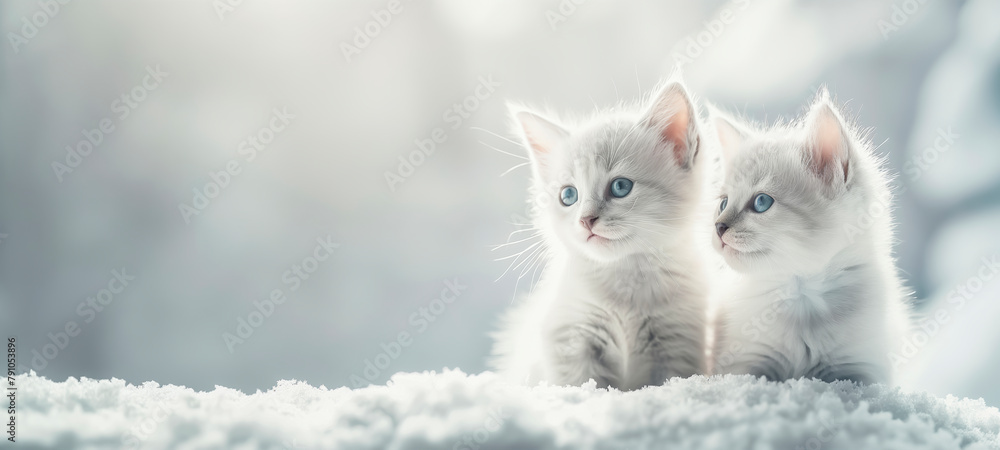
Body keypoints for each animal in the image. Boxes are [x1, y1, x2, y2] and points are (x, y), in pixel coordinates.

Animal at [490, 81, 712, 390]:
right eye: (568, 196)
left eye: (620, 187)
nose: (586, 220)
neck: (625, 277)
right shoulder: (571, 338)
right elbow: (582, 385)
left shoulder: (677, 338)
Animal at [708, 90, 912, 384]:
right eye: (723, 203)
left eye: (761, 202)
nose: (719, 226)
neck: (801, 294)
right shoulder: (744, 360)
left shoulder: (862, 367)